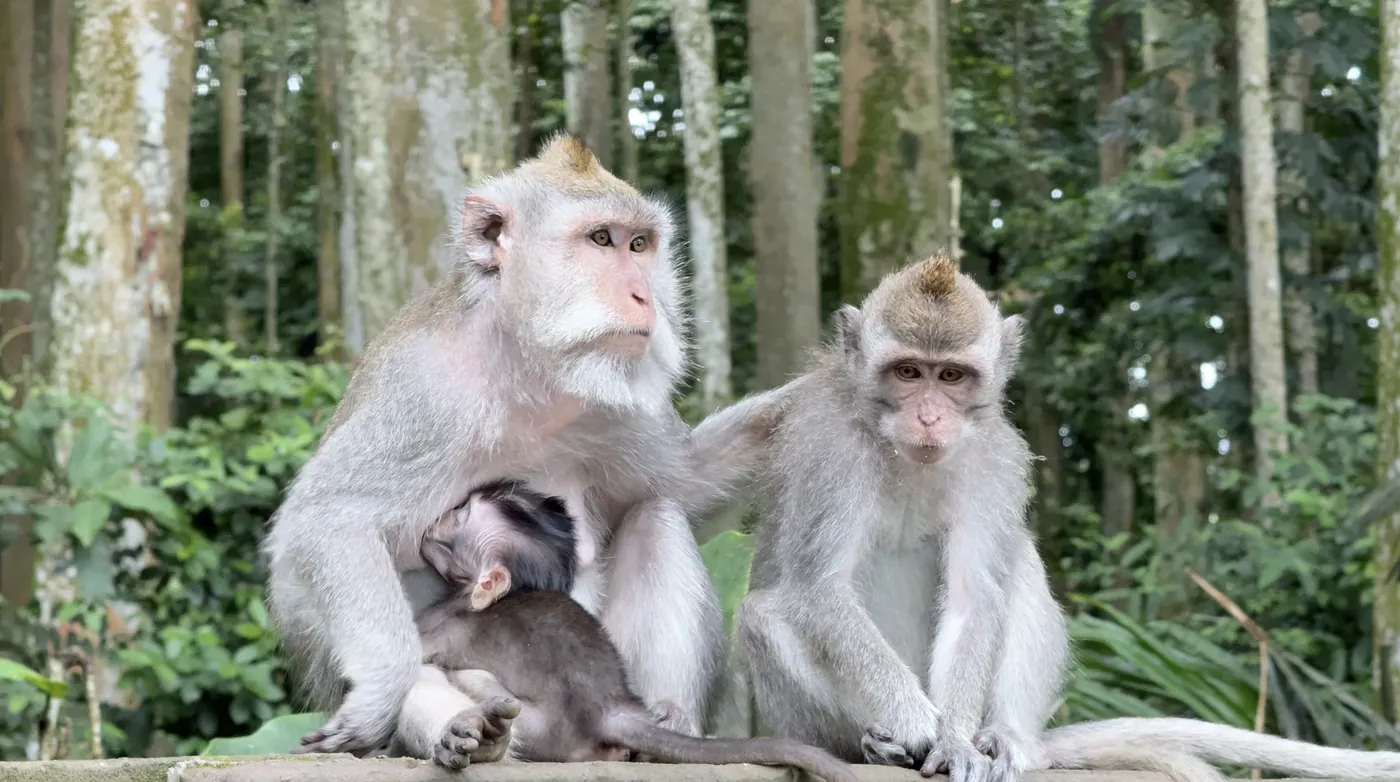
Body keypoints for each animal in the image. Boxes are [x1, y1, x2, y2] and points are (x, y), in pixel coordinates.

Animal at [264, 134, 744, 764]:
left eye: (640, 244)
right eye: (601, 239)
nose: (645, 296)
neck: (522, 366)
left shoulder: (622, 400)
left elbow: (689, 482)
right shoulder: (421, 390)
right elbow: (329, 519)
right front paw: (381, 693)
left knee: (657, 515)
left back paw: (670, 728)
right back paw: (468, 731)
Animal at [410, 481, 862, 782]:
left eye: (462, 515)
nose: (438, 518)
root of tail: (614, 708)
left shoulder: (452, 620)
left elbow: (422, 650)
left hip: (546, 729)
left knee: (476, 682)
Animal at [694, 252, 1400, 782]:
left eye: (951, 376)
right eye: (908, 372)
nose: (930, 417)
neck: (904, 454)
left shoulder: (993, 459)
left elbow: (977, 594)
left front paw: (954, 740)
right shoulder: (830, 451)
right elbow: (822, 591)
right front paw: (918, 724)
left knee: (1018, 565)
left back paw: (1006, 740)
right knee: (763, 615)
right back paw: (877, 743)